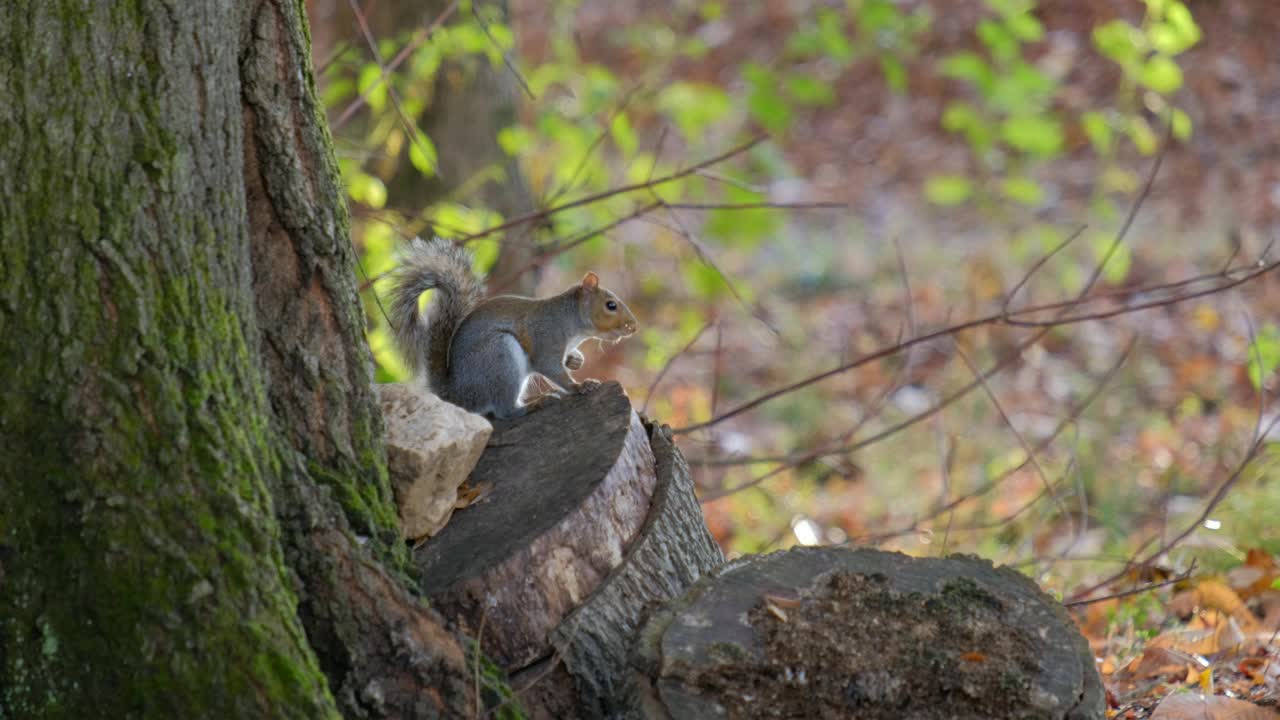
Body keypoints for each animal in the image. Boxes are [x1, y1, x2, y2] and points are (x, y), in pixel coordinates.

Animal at [381, 237, 637, 415]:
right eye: (611, 305)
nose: (633, 327)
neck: (570, 320)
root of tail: (456, 395)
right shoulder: (546, 337)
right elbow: (550, 368)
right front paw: (579, 385)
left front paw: (576, 360)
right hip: (500, 357)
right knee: (505, 411)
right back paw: (534, 404)